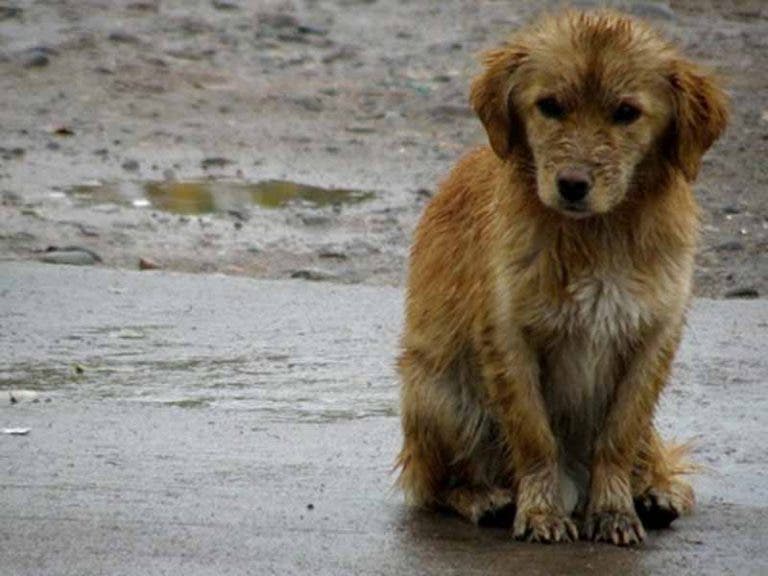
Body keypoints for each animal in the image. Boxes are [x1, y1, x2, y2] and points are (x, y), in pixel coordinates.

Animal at [396, 11, 728, 548]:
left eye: (626, 112)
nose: (572, 185)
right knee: (436, 484)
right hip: (439, 393)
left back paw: (654, 491)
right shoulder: (509, 338)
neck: (598, 234)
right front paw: (541, 511)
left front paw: (613, 509)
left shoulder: (652, 338)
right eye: (549, 106)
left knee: (650, 453)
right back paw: (484, 498)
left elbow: (618, 436)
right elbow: (535, 437)